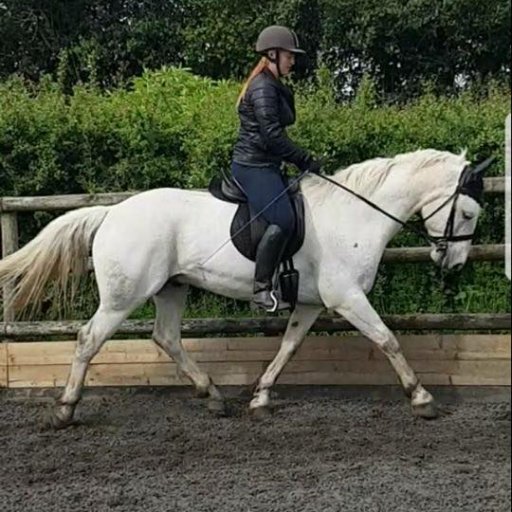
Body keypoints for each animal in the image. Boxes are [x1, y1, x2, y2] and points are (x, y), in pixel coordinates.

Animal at [1, 149, 488, 428]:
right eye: (467, 212)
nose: (453, 263)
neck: (356, 214)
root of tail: (111, 213)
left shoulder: (311, 304)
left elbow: (288, 347)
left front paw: (261, 398)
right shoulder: (346, 297)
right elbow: (388, 340)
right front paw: (422, 399)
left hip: (171, 288)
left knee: (166, 337)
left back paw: (214, 398)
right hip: (125, 296)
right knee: (89, 339)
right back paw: (65, 410)